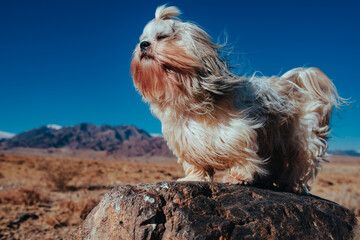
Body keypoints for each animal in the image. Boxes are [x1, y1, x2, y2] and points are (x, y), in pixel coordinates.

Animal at [130, 4, 344, 193]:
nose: (143, 45)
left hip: (304, 138)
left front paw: (238, 177)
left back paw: (293, 185)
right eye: (142, 39)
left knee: (302, 162)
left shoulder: (238, 133)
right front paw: (194, 177)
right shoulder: (187, 140)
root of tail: (296, 84)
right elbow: (196, 163)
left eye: (162, 37)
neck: (189, 98)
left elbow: (243, 157)